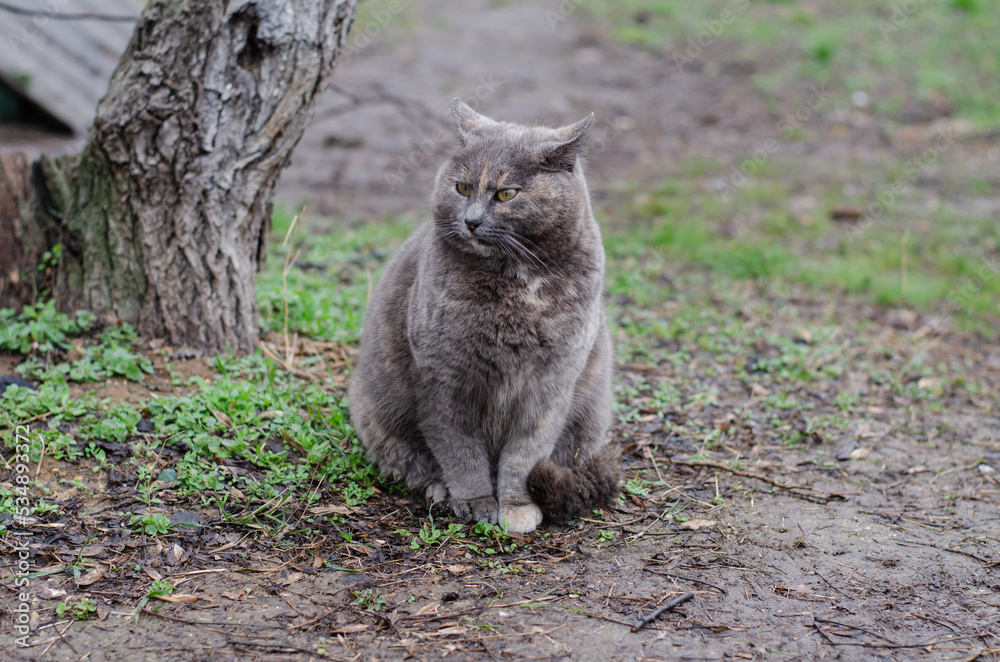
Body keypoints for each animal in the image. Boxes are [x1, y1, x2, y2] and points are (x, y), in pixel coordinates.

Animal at [348, 100, 620, 536]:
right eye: (462, 188)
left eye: (506, 193)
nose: (471, 220)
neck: (518, 284)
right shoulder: (444, 380)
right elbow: (458, 449)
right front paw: (475, 501)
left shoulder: (550, 386)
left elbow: (526, 453)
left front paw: (517, 506)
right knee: (411, 460)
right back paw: (438, 489)